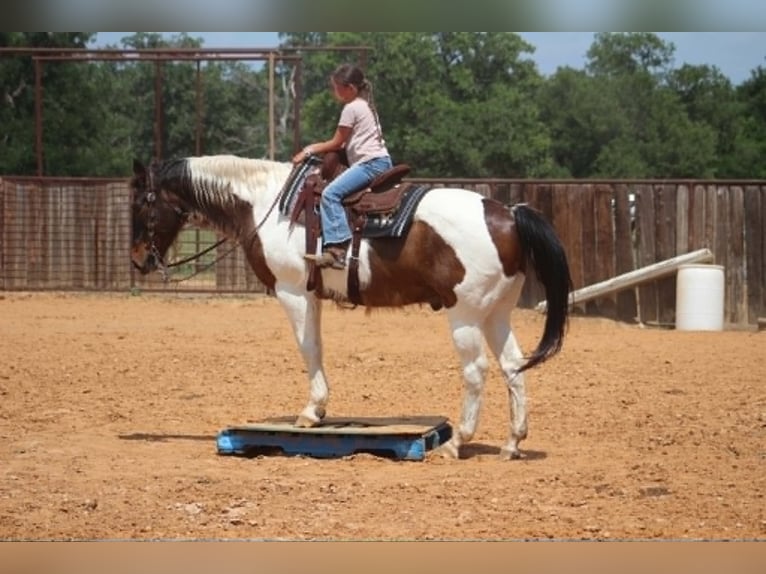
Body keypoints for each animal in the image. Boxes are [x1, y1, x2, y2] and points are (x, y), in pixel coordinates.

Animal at [129, 154, 573, 460]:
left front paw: (311, 412)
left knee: (476, 370)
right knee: (513, 366)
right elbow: (317, 346)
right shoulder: (312, 296)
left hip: (464, 313)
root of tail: (508, 214)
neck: (266, 204)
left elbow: (308, 348)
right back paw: (512, 442)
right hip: (496, 312)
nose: (138, 259)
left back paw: (457, 442)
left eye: (141, 205)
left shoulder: (293, 292)